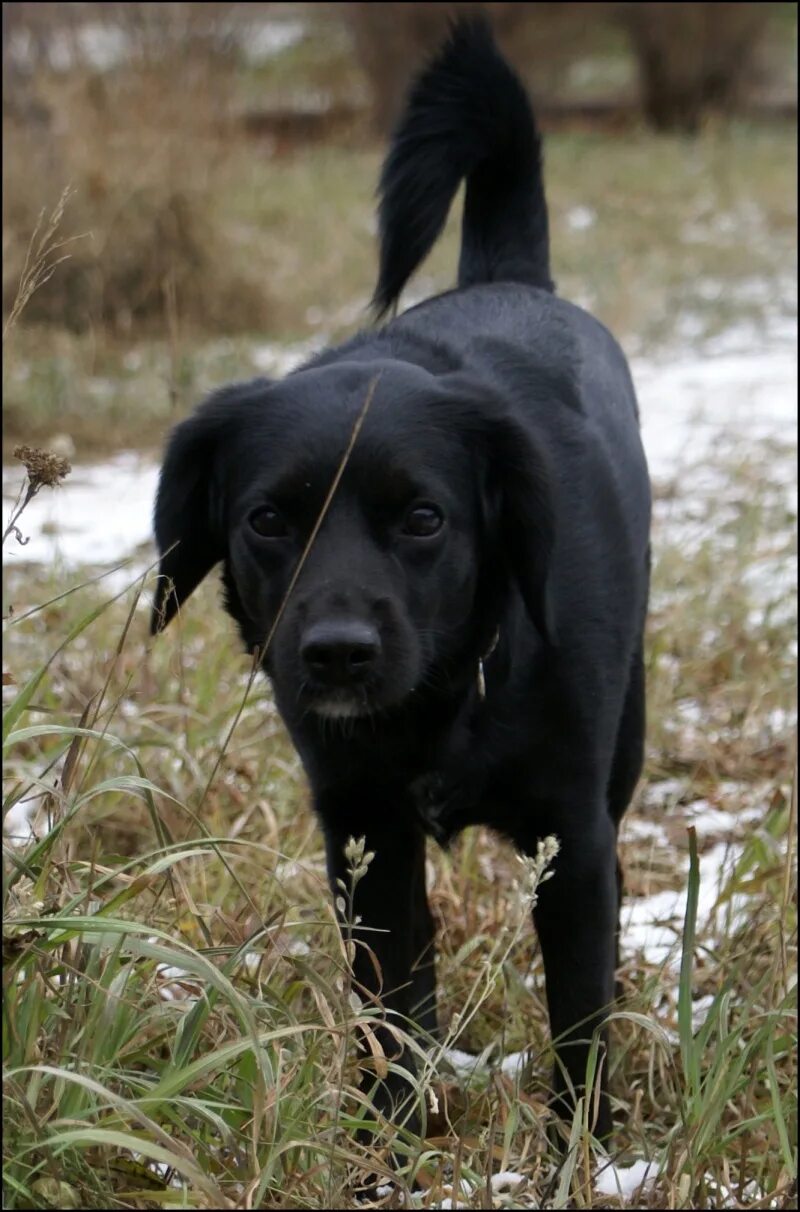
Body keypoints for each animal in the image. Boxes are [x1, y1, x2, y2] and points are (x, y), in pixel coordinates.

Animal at [150, 18, 649, 1153]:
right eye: (268, 520)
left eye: (423, 519)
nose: (337, 653)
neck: (451, 694)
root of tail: (508, 275)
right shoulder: (365, 835)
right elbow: (391, 1013)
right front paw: (387, 1153)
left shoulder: (573, 841)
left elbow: (578, 1016)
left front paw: (581, 1160)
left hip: (625, 750)